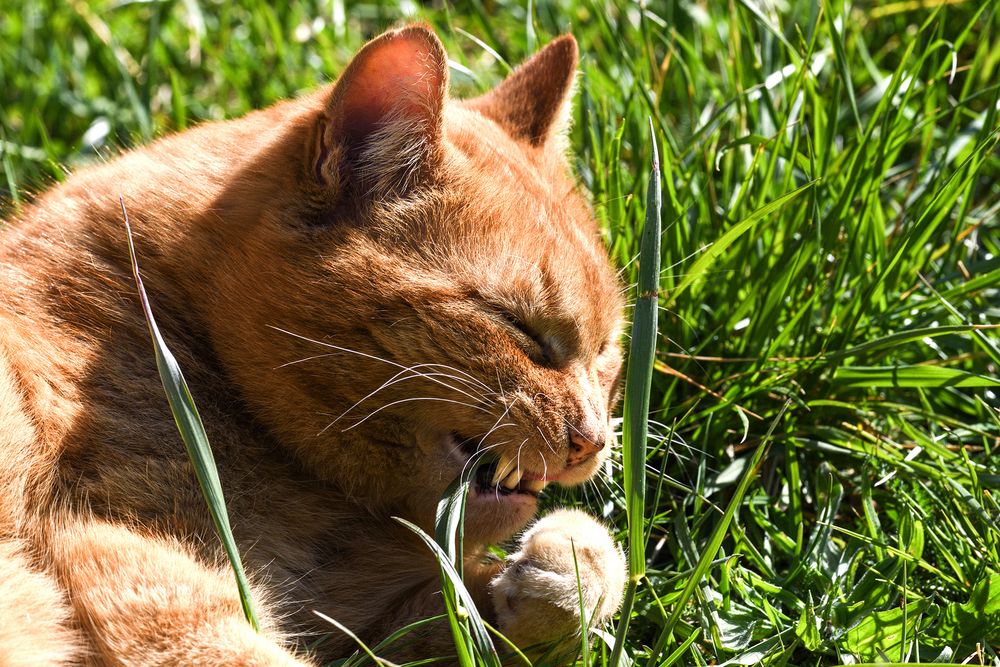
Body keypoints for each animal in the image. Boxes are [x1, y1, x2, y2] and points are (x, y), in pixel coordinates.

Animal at [0, 23, 624, 664]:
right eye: (517, 326)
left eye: (605, 350)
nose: (592, 441)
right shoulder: (111, 555)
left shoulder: (361, 622)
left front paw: (567, 571)